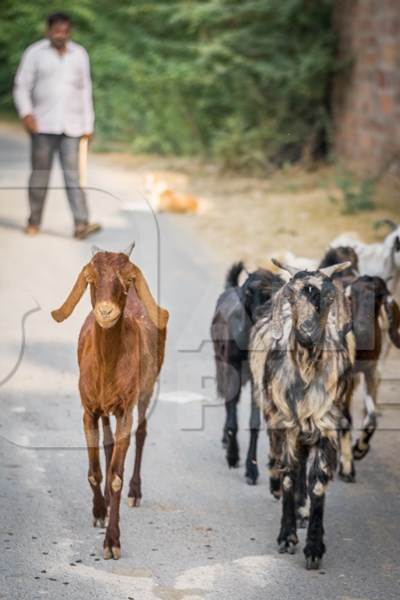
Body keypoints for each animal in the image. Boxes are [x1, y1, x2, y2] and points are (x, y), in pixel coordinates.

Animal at [51, 243, 167, 556]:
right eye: (91, 278)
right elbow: (95, 470)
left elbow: (116, 475)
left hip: (146, 390)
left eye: (127, 279)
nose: (106, 311)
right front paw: (99, 512)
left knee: (141, 433)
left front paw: (112, 541)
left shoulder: (125, 409)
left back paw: (135, 492)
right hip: (105, 411)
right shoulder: (89, 411)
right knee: (108, 443)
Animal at [211, 262, 282, 482]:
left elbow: (254, 422)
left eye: (275, 293)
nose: (261, 315)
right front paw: (233, 456)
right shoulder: (232, 368)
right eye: (249, 291)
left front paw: (252, 469)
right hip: (222, 365)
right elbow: (233, 417)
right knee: (228, 402)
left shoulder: (258, 377)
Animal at [252, 258, 354, 568]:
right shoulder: (285, 424)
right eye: (292, 295)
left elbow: (317, 484)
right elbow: (288, 476)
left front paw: (314, 547)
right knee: (292, 469)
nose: (307, 333)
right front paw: (287, 537)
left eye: (330, 298)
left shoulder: (326, 426)